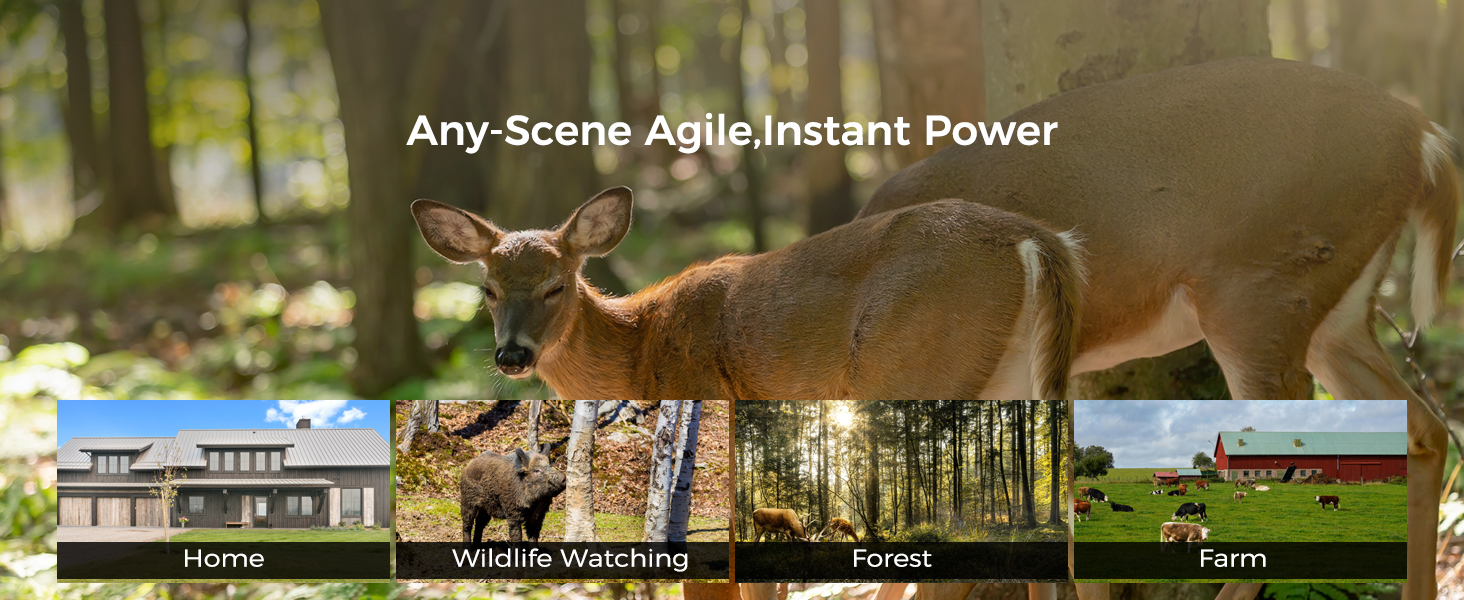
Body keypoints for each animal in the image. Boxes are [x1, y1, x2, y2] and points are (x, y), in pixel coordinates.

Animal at [412, 187, 1084, 400]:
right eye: (488, 288)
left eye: (556, 285)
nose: (512, 355)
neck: (639, 352)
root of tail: (1038, 240)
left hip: (910, 361)